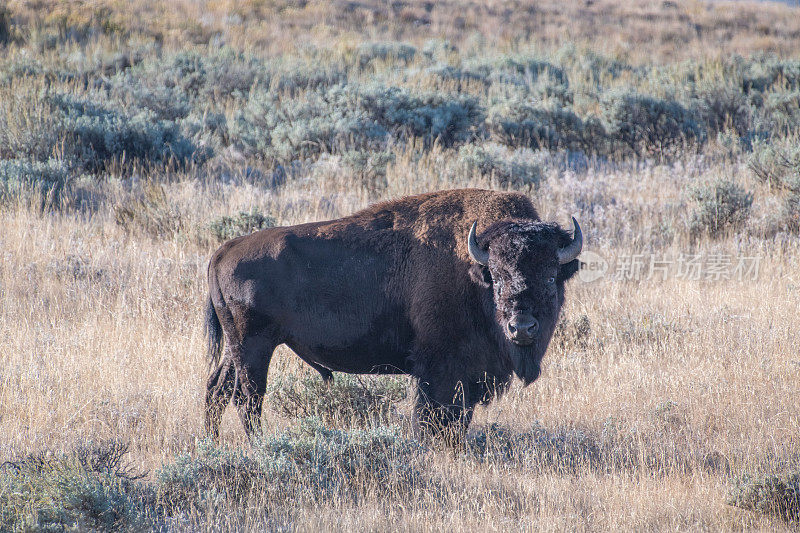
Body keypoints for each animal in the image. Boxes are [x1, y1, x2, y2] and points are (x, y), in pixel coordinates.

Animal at [205, 187, 580, 440]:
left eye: (551, 277)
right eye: (498, 278)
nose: (522, 328)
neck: (474, 269)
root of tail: (224, 250)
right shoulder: (441, 367)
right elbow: (436, 415)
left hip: (238, 348)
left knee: (217, 389)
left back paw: (213, 442)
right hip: (255, 346)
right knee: (248, 397)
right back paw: (258, 444)